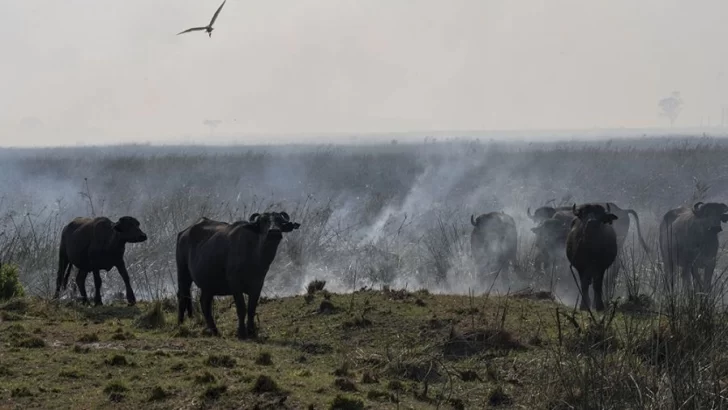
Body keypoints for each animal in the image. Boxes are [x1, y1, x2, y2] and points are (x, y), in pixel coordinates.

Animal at [177, 211, 302, 340]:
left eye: (279, 221)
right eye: (263, 221)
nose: (274, 232)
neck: (255, 256)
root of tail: (184, 233)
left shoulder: (258, 285)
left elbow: (251, 308)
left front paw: (251, 331)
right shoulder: (235, 285)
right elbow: (241, 308)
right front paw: (241, 332)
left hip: (208, 285)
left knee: (204, 303)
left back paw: (215, 331)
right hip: (183, 273)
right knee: (182, 296)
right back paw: (180, 324)